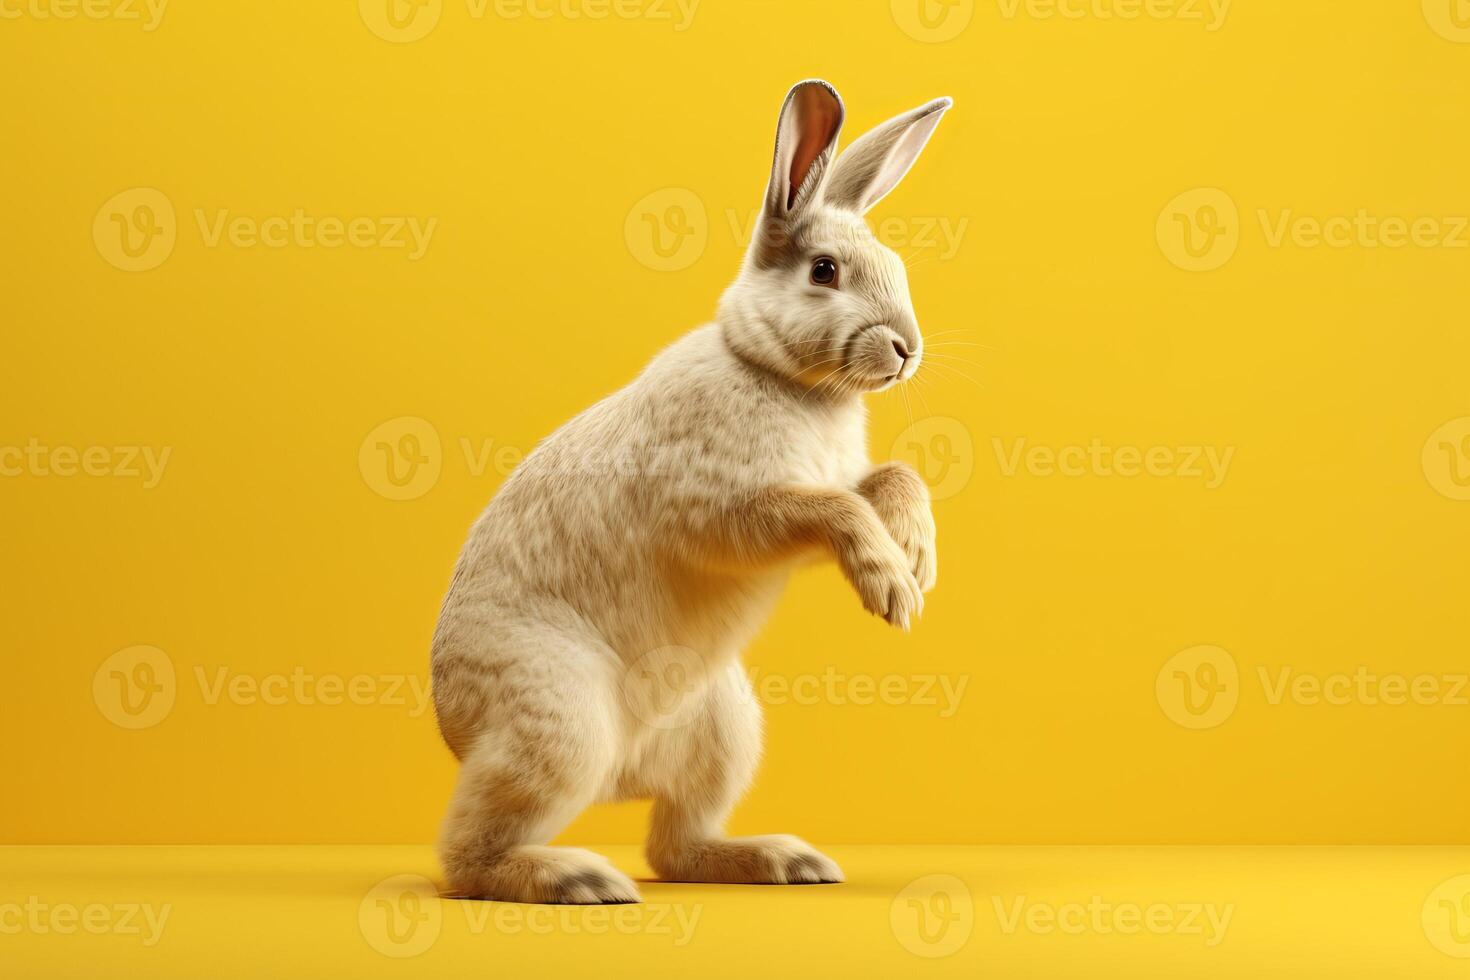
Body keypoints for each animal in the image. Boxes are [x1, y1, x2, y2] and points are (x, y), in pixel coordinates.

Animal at [429, 80, 946, 910]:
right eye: (824, 271)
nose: (906, 349)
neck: (782, 377)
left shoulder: (829, 489)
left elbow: (891, 479)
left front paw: (916, 558)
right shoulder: (729, 508)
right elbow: (833, 508)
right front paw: (891, 588)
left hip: (724, 726)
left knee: (676, 842)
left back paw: (784, 860)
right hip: (558, 721)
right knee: (468, 855)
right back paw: (580, 878)